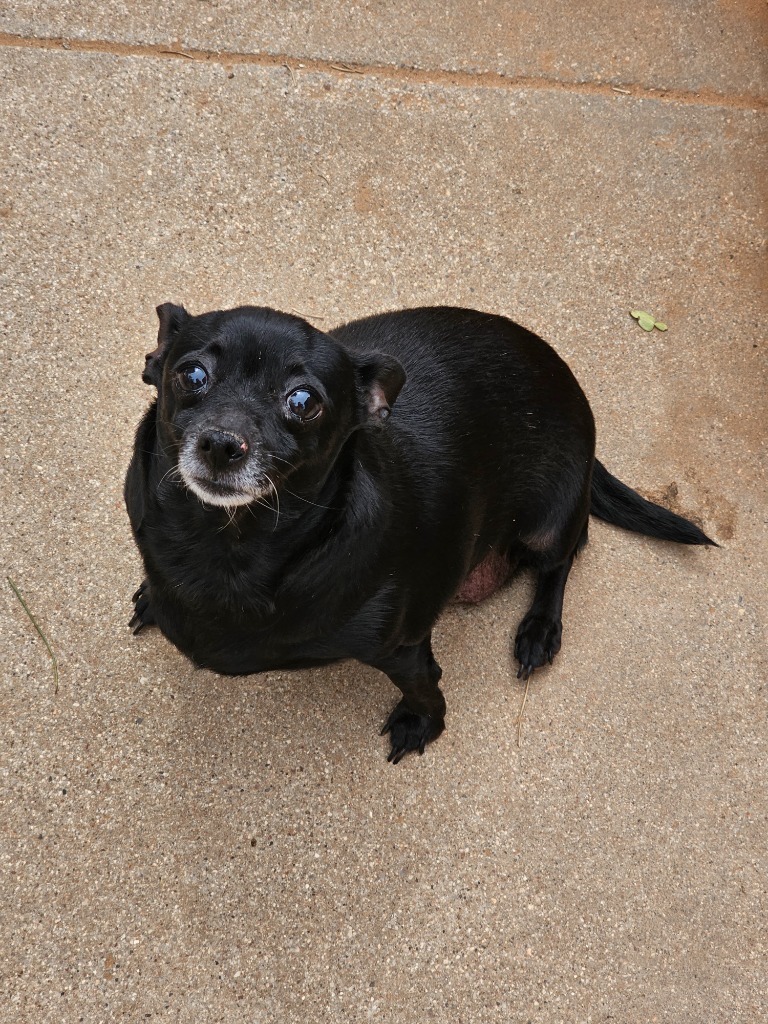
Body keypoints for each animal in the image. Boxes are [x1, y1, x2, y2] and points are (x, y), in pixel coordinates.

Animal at [124, 303, 716, 761]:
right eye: (191, 375)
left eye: (303, 401)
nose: (222, 443)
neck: (225, 549)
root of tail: (563, 377)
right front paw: (154, 596)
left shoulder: (404, 648)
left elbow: (425, 686)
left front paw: (421, 723)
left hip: (548, 522)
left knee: (563, 558)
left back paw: (538, 631)